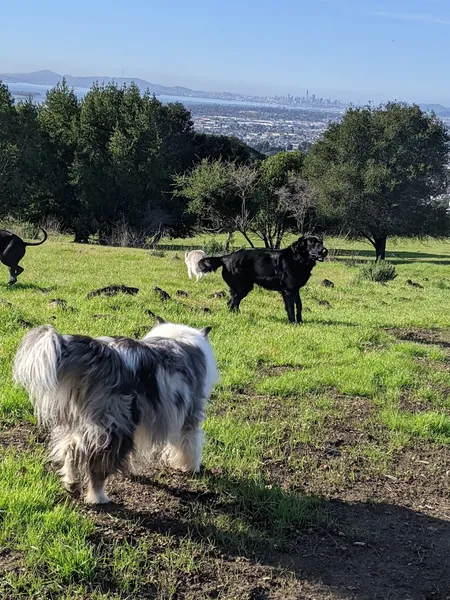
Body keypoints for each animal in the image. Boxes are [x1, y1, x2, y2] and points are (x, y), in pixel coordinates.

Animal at [12, 316, 218, 504]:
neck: (177, 336)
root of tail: (99, 352)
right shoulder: (191, 414)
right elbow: (191, 443)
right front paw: (190, 467)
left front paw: (129, 471)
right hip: (114, 427)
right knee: (96, 464)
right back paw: (98, 497)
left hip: (81, 421)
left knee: (71, 448)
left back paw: (71, 482)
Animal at [199, 234, 328, 324]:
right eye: (313, 243)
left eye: (321, 242)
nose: (325, 251)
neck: (297, 258)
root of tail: (225, 257)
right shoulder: (288, 290)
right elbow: (291, 307)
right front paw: (292, 323)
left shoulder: (295, 289)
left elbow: (299, 305)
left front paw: (300, 321)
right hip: (242, 287)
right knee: (231, 303)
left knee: (233, 303)